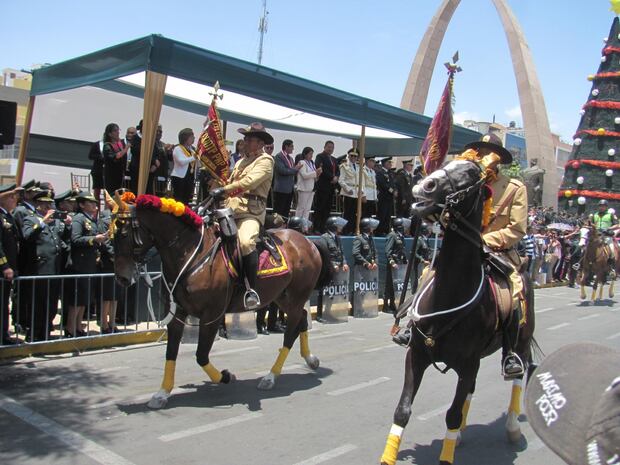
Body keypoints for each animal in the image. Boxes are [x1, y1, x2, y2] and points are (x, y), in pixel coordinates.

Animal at [111, 194, 331, 409]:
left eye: (123, 234)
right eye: (112, 234)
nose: (121, 278)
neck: (192, 254)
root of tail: (308, 241)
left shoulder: (212, 316)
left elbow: (201, 355)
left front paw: (225, 377)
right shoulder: (177, 314)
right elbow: (171, 352)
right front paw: (162, 393)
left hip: (295, 297)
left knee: (290, 333)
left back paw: (270, 376)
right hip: (282, 297)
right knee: (302, 319)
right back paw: (310, 360)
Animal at [379, 158, 537, 465]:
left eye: (471, 173)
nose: (423, 185)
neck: (449, 294)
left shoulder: (468, 362)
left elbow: (451, 414)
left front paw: (447, 452)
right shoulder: (416, 356)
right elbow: (402, 410)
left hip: (521, 343)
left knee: (518, 376)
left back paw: (512, 427)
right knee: (471, 390)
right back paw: (463, 433)